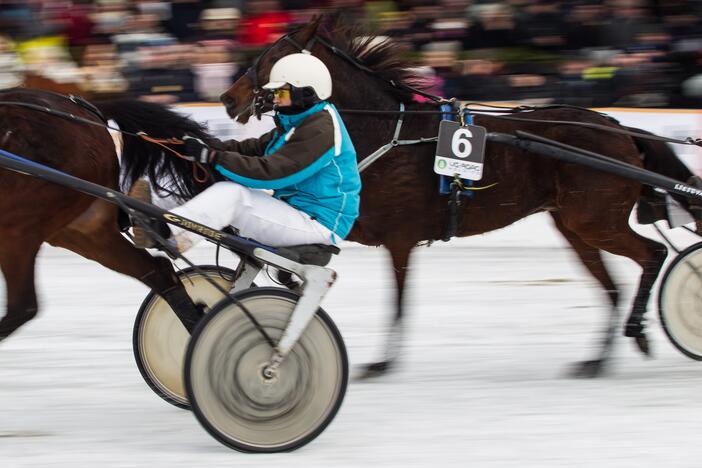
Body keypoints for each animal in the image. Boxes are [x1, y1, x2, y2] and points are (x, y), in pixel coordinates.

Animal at [220, 19, 700, 376]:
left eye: (269, 58)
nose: (227, 97)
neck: (390, 130)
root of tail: (620, 129)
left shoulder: (397, 237)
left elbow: (397, 300)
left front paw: (381, 362)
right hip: (575, 228)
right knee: (614, 287)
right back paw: (598, 359)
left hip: (595, 222)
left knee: (654, 254)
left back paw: (637, 329)